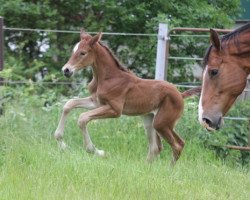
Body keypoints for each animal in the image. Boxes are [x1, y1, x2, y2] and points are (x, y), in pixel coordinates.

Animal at [54, 30, 199, 163]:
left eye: (83, 53)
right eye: (73, 51)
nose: (66, 70)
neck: (107, 78)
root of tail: (180, 94)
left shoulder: (115, 110)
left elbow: (82, 118)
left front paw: (97, 151)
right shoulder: (96, 102)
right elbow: (69, 104)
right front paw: (61, 142)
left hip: (161, 123)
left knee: (176, 145)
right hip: (152, 120)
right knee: (157, 147)